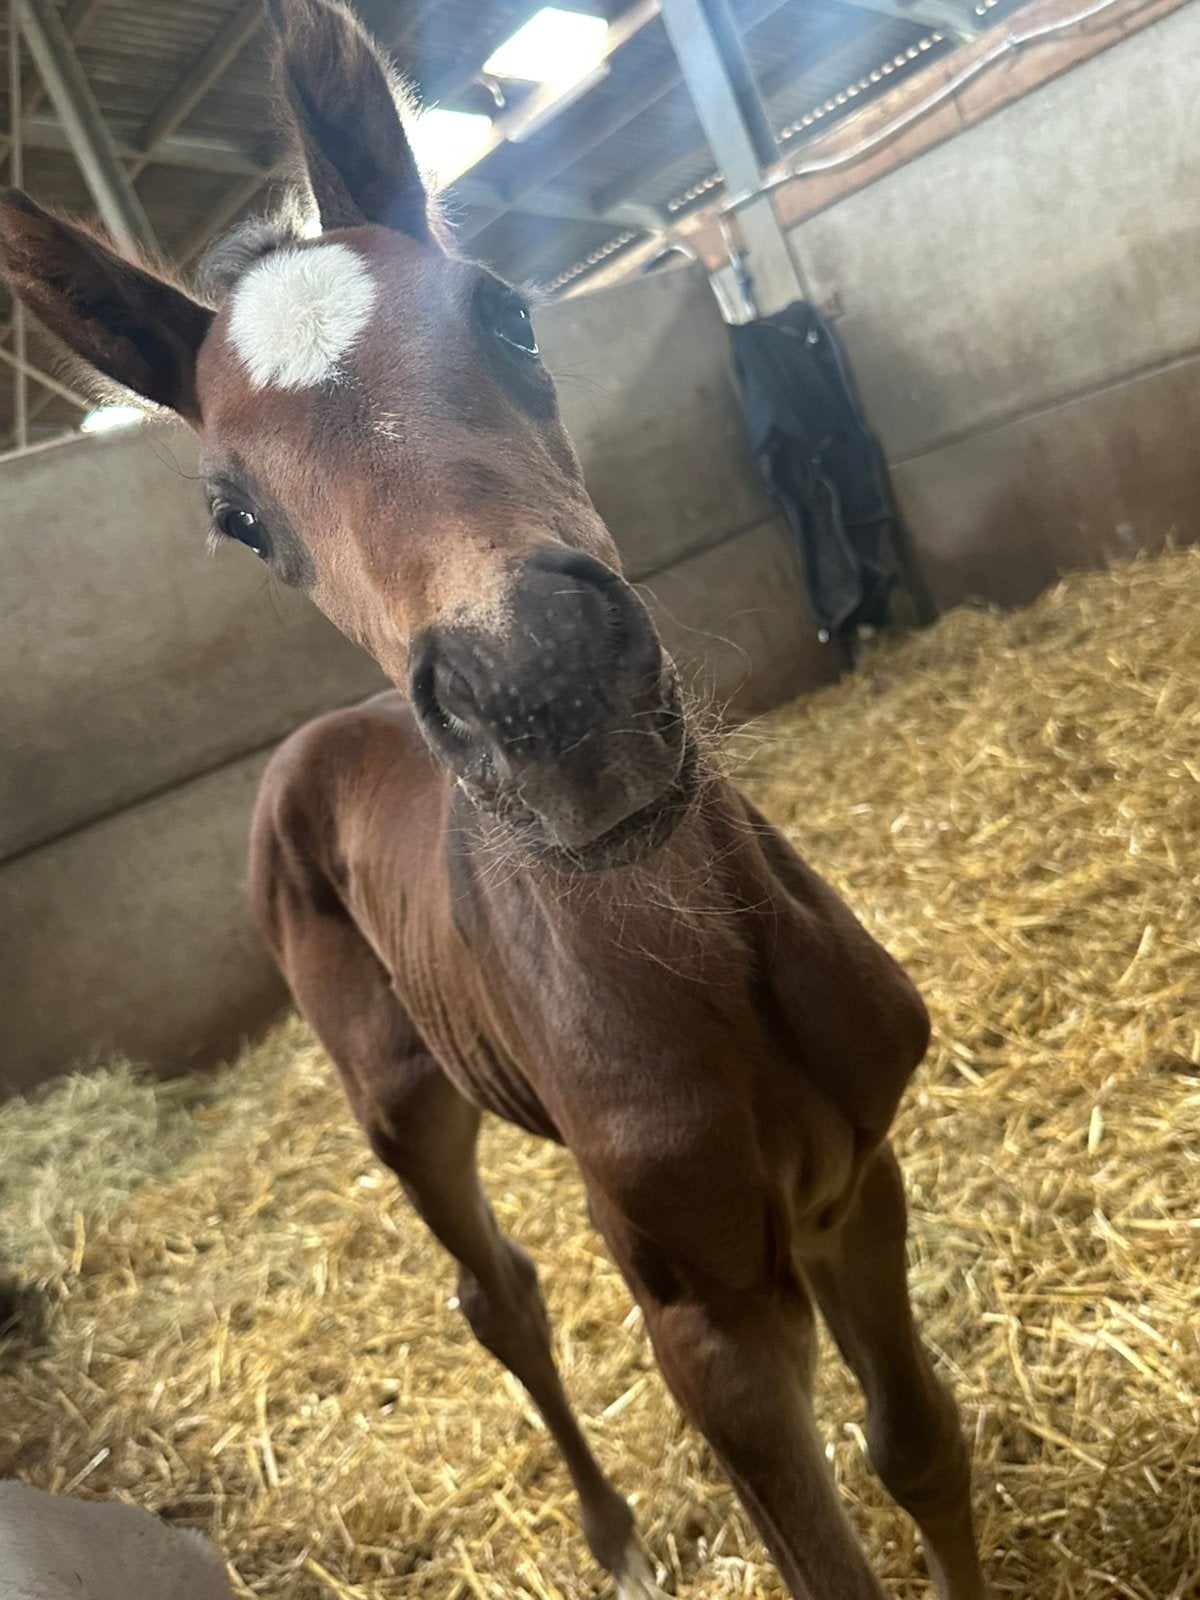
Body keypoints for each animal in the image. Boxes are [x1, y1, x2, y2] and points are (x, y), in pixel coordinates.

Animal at [0, 3, 992, 1595]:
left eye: (513, 316)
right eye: (235, 514)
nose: (546, 689)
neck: (702, 967)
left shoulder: (859, 1172)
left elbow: (919, 1447)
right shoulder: (702, 1307)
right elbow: (816, 1556)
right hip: (399, 1105)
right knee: (498, 1294)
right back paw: (613, 1534)